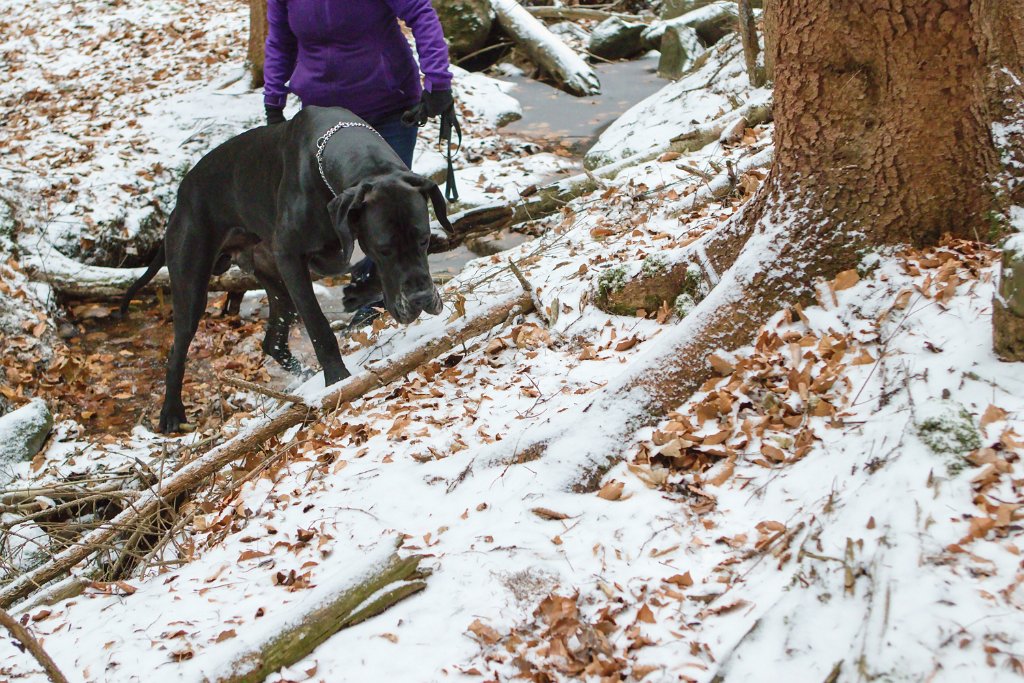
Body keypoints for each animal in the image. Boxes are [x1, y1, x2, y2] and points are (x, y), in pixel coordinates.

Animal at [120, 109, 448, 436]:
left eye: (424, 240)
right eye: (384, 249)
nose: (420, 298)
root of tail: (181, 195)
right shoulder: (292, 258)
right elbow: (318, 326)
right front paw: (337, 379)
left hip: (276, 282)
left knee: (273, 341)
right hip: (194, 285)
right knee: (177, 349)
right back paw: (171, 414)